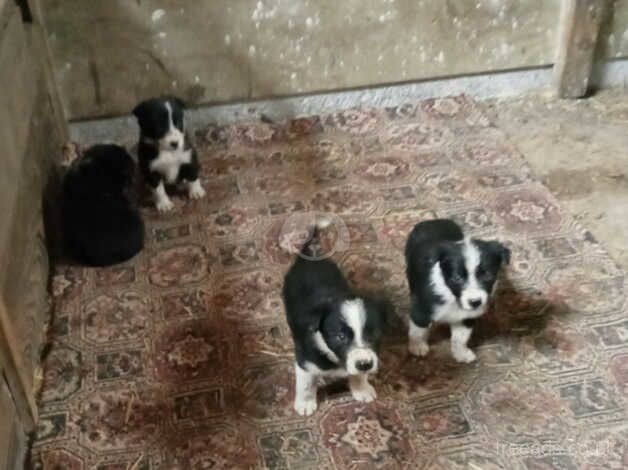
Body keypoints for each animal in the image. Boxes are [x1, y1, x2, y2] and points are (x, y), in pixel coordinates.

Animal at [282, 222, 386, 416]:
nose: (365, 364)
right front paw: (305, 403)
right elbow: (306, 383)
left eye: (374, 334)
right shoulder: (304, 359)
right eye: (340, 337)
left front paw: (361, 389)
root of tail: (310, 258)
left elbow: (357, 374)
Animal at [404, 218, 512, 362]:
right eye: (457, 278)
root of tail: (433, 220)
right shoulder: (421, 310)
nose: (475, 302)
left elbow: (460, 338)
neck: (452, 297)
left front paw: (461, 353)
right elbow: (418, 331)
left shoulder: (466, 316)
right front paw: (417, 347)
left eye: (488, 276)